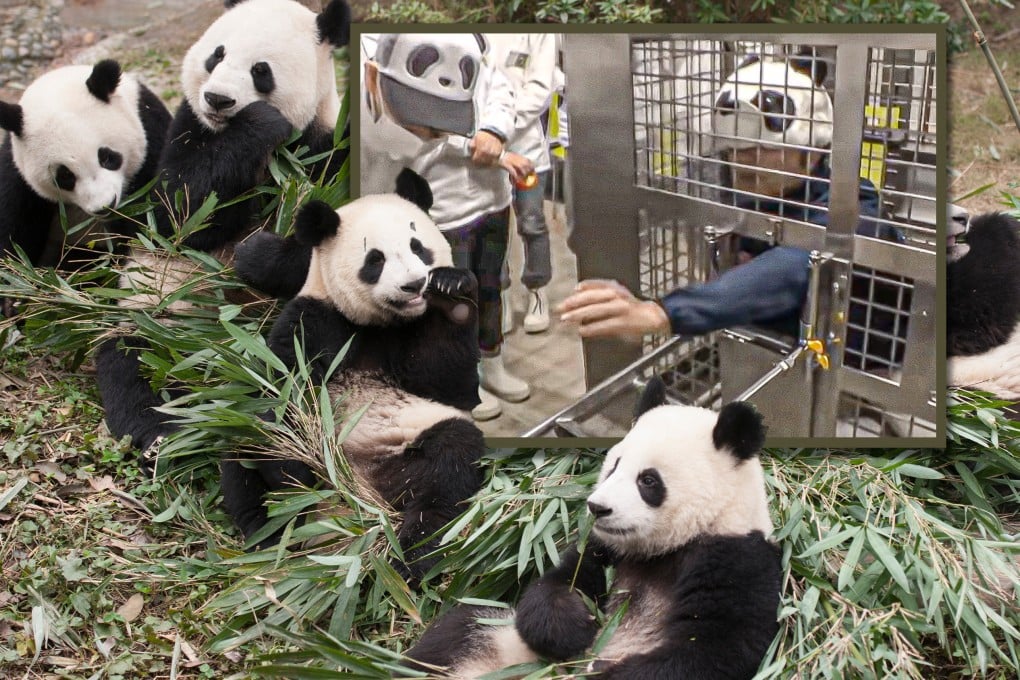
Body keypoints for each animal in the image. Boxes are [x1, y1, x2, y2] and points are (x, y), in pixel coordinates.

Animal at [0, 60, 171, 308]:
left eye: (107, 157)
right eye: (65, 176)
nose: (105, 205)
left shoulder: (152, 136)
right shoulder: (16, 171)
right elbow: (14, 227)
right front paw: (14, 295)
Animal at [94, 0, 350, 455]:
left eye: (261, 70)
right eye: (217, 55)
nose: (217, 98)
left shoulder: (329, 146)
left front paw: (259, 257)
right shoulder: (189, 124)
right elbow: (178, 212)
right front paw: (259, 124)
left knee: (305, 343)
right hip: (158, 313)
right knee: (138, 361)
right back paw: (165, 433)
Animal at [221, 168, 484, 583]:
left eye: (418, 247)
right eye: (375, 259)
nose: (414, 284)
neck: (381, 324)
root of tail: (358, 496)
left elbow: (451, 383)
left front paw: (451, 292)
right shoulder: (317, 317)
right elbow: (284, 389)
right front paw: (294, 468)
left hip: (415, 440)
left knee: (448, 468)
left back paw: (409, 555)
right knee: (244, 451)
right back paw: (273, 530)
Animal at [404, 378, 781, 679]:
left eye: (648, 480)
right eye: (614, 466)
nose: (598, 508)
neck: (668, 547)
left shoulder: (738, 560)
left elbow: (711, 650)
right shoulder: (603, 549)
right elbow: (556, 586)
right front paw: (576, 629)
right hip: (493, 637)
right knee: (453, 633)